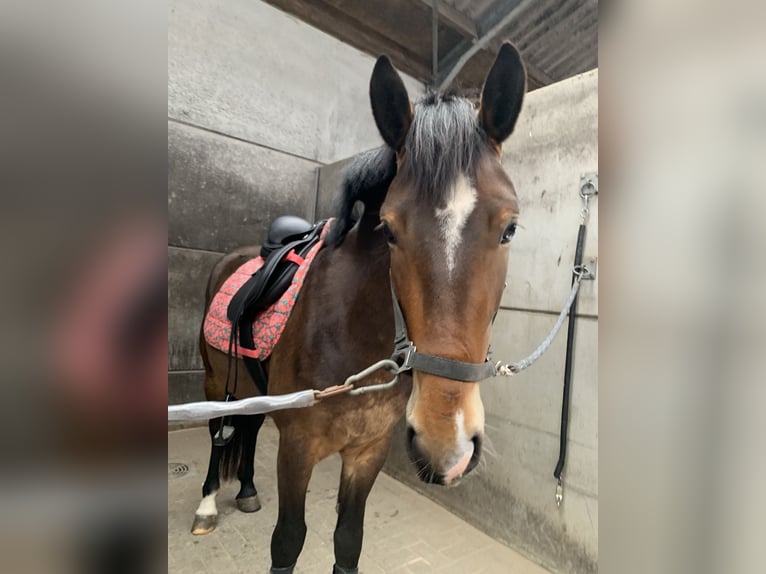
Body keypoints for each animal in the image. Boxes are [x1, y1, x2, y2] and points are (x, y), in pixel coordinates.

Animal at [191, 42, 527, 574]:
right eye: (388, 229)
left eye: (510, 227)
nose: (445, 441)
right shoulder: (297, 449)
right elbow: (288, 541)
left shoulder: (369, 450)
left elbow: (348, 541)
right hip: (212, 382)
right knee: (217, 432)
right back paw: (207, 503)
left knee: (248, 426)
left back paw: (244, 489)